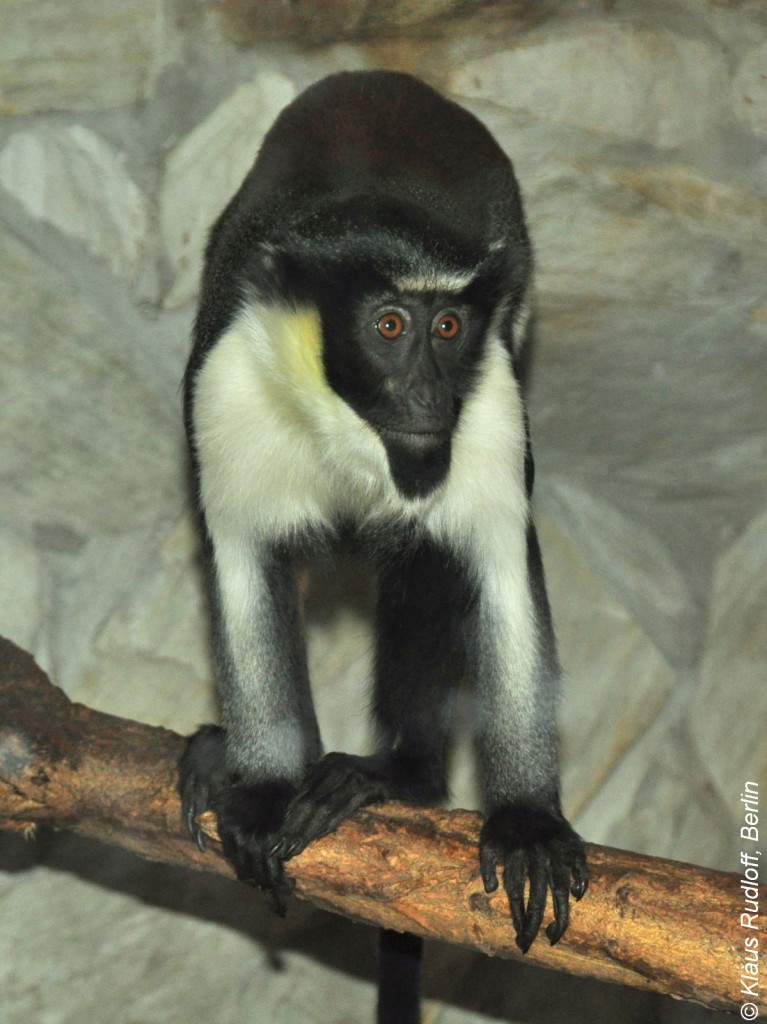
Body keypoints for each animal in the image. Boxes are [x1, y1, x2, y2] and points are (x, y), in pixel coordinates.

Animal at [179, 68, 585, 1019]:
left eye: (448, 329)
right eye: (391, 326)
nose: (431, 393)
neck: (354, 423)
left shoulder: (487, 403)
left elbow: (495, 566)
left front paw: (526, 819)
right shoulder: (228, 387)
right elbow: (245, 564)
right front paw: (261, 789)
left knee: (423, 566)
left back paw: (402, 774)